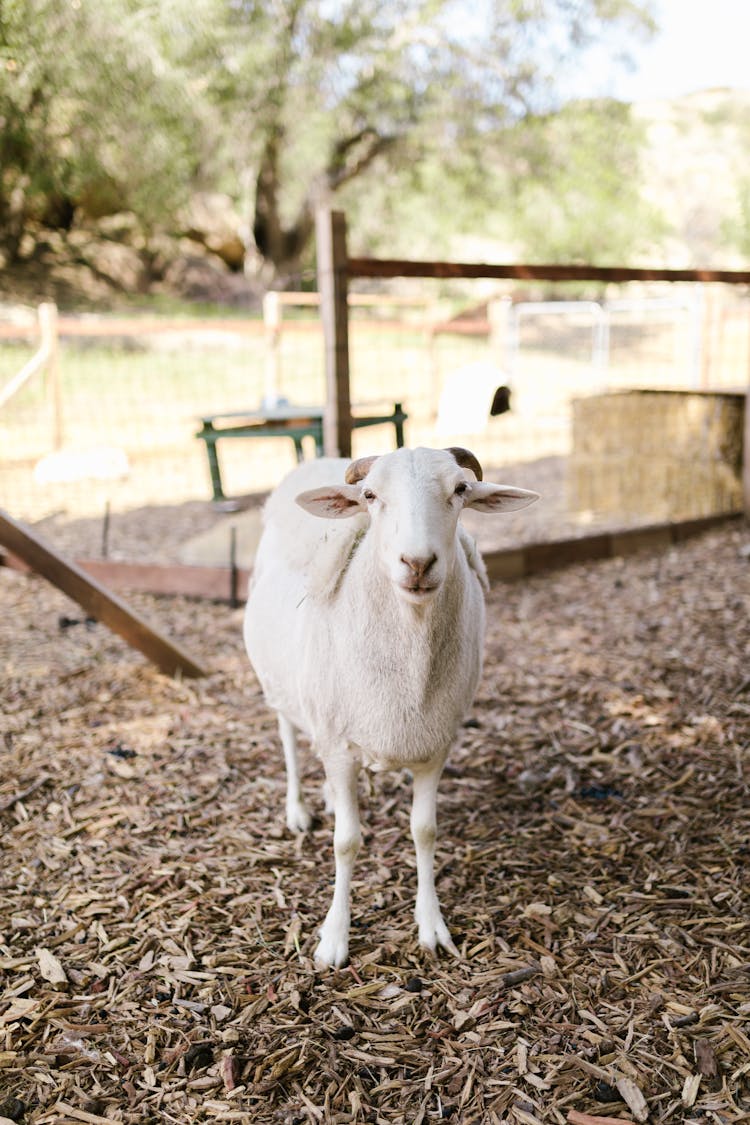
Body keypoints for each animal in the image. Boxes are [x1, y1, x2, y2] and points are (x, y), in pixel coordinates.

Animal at [246, 443, 539, 963]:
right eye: (370, 495)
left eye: (461, 489)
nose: (418, 563)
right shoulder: (340, 748)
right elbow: (346, 842)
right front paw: (334, 937)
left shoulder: (435, 745)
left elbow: (424, 831)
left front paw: (431, 925)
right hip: (282, 684)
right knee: (288, 737)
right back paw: (298, 808)